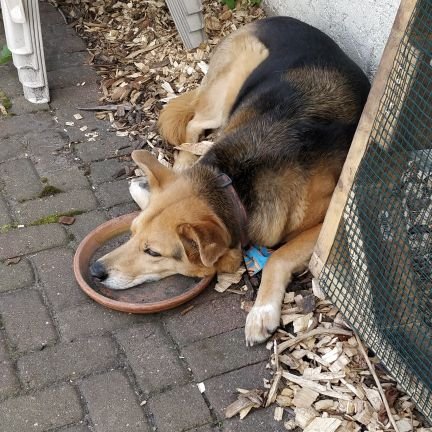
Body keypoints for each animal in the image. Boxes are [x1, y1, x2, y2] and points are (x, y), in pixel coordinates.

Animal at [89, 17, 370, 344]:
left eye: (153, 252)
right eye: (131, 233)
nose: (95, 270)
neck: (232, 183)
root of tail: (268, 19)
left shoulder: (328, 226)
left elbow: (278, 257)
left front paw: (262, 311)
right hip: (225, 96)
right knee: (193, 127)